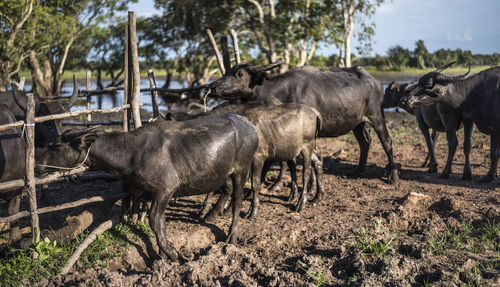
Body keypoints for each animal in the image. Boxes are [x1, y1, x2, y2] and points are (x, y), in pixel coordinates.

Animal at [37, 114, 260, 260]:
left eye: (57, 146)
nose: (38, 164)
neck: (131, 153)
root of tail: (249, 125)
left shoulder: (166, 189)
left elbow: (154, 220)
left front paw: (172, 253)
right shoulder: (150, 194)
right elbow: (160, 223)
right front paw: (163, 253)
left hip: (241, 169)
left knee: (238, 199)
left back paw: (232, 236)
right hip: (223, 172)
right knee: (227, 190)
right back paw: (211, 215)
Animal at [206, 63, 398, 184]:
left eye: (239, 74)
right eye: (227, 71)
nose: (212, 87)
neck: (283, 91)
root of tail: (375, 81)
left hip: (377, 116)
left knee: (387, 142)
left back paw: (393, 176)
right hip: (357, 123)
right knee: (365, 143)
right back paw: (359, 170)